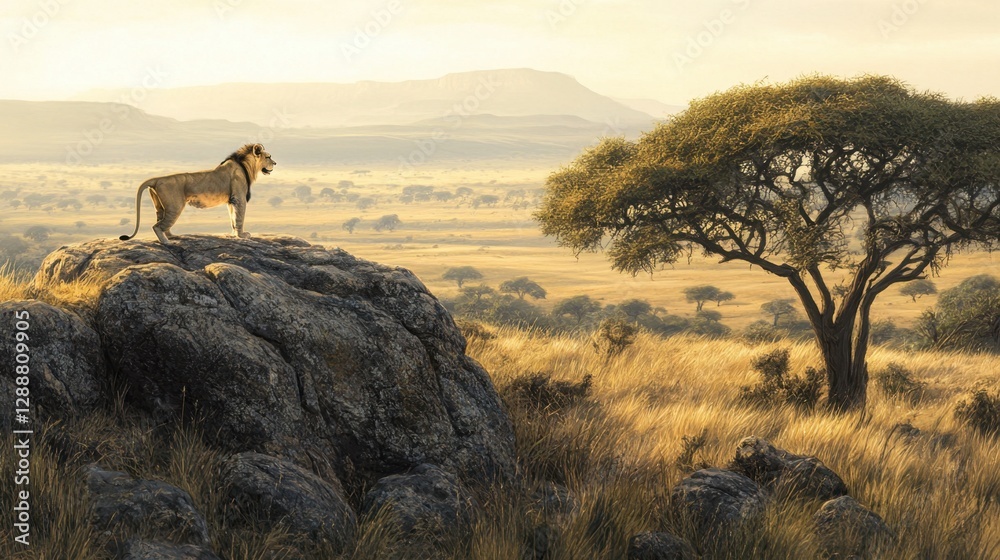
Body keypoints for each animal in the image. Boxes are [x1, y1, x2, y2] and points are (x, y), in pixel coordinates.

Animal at [119, 143, 276, 245]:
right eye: (268, 157)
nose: (275, 163)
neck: (248, 166)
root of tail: (157, 179)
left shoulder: (231, 201)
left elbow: (233, 218)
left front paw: (234, 235)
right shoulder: (239, 198)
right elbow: (239, 218)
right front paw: (242, 235)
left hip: (160, 206)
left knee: (160, 221)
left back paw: (171, 236)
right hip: (175, 207)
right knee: (157, 226)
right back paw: (167, 242)